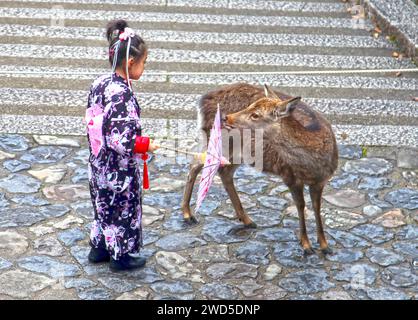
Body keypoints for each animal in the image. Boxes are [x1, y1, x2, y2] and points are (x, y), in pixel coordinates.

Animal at [181, 83, 338, 255]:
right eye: (250, 105)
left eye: (255, 114)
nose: (226, 117)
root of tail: (202, 101)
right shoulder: (289, 176)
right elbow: (301, 206)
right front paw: (306, 245)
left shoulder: (321, 181)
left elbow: (317, 208)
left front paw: (324, 246)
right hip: (218, 142)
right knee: (197, 162)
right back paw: (188, 214)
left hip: (237, 152)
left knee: (223, 172)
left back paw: (247, 220)